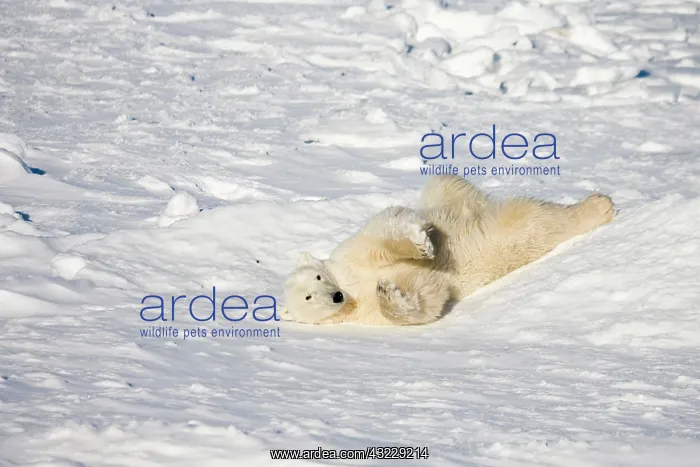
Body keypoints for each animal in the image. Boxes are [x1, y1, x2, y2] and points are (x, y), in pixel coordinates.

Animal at [283, 175, 615, 326]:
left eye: (317, 277)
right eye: (309, 297)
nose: (336, 296)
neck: (351, 289)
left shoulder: (349, 257)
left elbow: (382, 235)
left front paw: (421, 243)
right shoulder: (366, 314)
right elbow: (425, 298)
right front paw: (389, 292)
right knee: (531, 223)